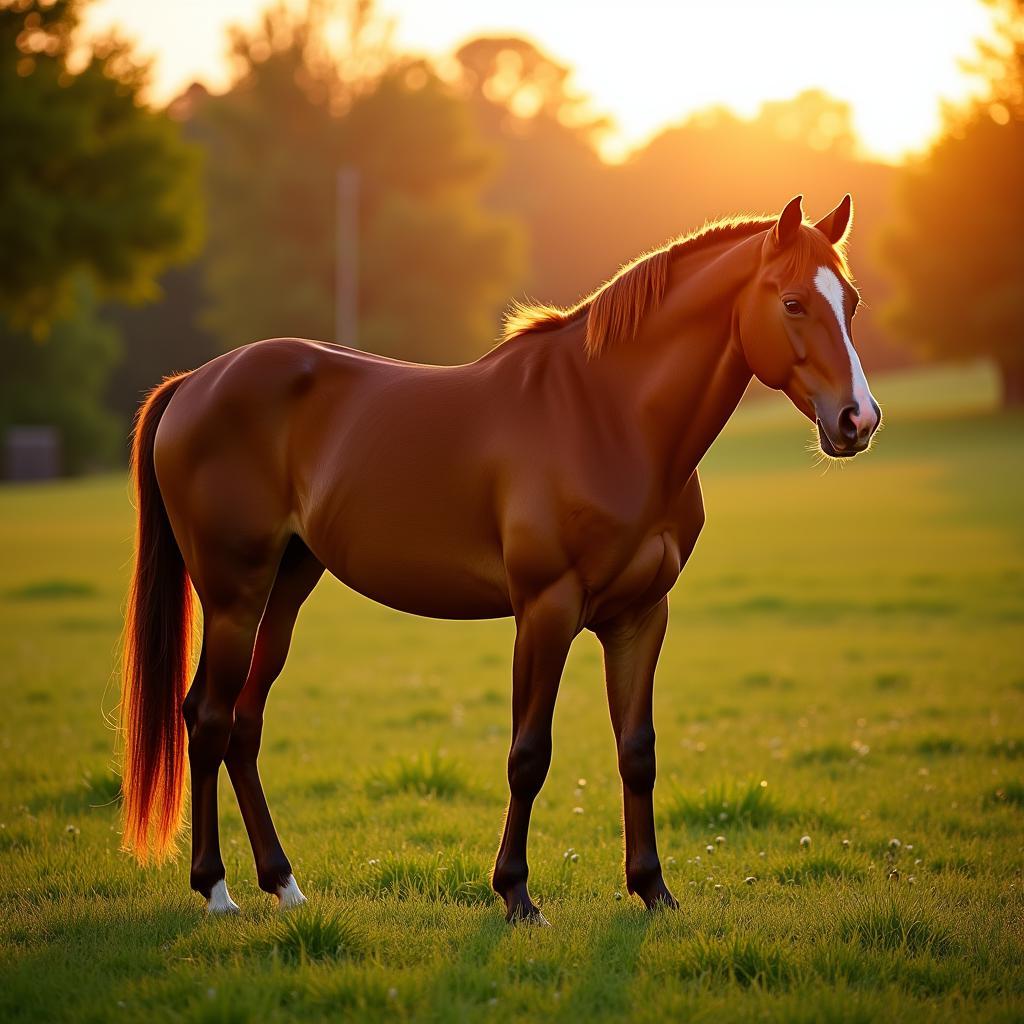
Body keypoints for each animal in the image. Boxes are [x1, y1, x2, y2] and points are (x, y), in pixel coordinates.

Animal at [121, 192, 880, 921]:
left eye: (850, 301)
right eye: (793, 301)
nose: (858, 420)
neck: (607, 417)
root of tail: (195, 383)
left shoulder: (641, 614)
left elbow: (637, 751)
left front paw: (653, 890)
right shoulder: (546, 610)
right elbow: (529, 753)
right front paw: (517, 895)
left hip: (286, 586)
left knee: (244, 724)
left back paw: (283, 884)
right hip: (234, 596)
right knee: (209, 720)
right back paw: (217, 890)